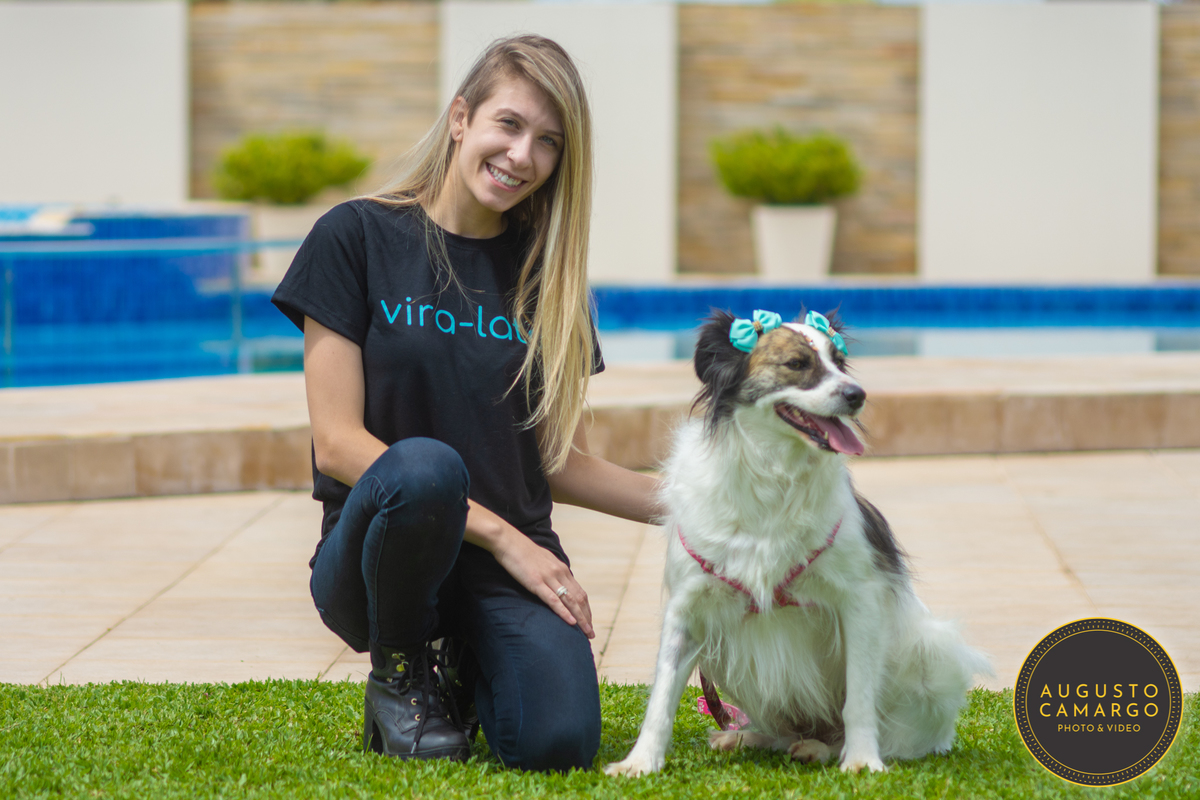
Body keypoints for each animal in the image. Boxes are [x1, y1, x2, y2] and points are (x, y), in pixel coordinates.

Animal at [605, 309, 990, 778]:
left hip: (930, 651)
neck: (774, 473)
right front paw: (640, 761)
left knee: (895, 735)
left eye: (840, 363)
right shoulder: (687, 607)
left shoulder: (860, 602)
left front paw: (862, 760)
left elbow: (860, 697)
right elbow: (661, 694)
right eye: (796, 364)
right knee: (779, 730)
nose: (857, 395)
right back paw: (749, 736)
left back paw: (823, 748)